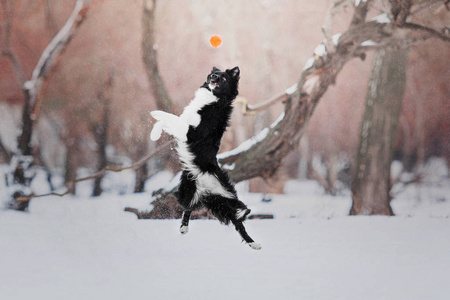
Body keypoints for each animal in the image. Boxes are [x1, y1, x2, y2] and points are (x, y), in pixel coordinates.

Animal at [149, 67, 260, 250]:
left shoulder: (191, 132)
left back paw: (253, 241)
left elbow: (171, 117)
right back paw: (184, 228)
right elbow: (166, 122)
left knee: (237, 218)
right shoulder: (184, 127)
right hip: (189, 191)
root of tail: (204, 189)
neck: (213, 99)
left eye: (223, 77)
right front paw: (154, 134)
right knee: (189, 207)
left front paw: (156, 113)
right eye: (213, 73)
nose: (213, 75)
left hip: (224, 198)